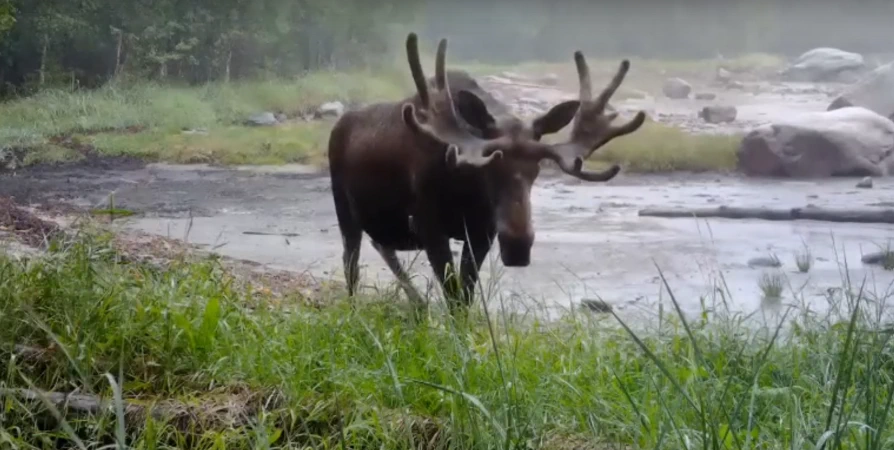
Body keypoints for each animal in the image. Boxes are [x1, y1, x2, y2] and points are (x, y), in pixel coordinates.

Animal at [326, 31, 648, 314]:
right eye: (490, 168)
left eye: (536, 169)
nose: (518, 247)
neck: (465, 188)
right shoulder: (428, 224)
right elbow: (453, 294)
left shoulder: (483, 232)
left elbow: (465, 296)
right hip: (344, 209)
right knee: (351, 265)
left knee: (382, 246)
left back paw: (417, 304)